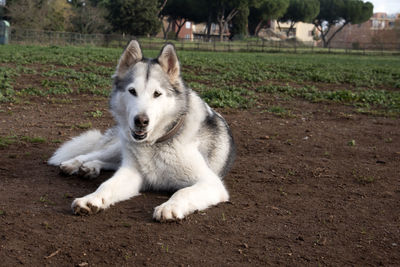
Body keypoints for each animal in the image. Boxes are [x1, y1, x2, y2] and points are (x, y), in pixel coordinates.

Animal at [47, 40, 234, 222]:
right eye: (132, 91)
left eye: (157, 94)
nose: (141, 121)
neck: (156, 144)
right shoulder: (132, 173)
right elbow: (107, 185)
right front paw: (91, 199)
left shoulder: (210, 182)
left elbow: (183, 191)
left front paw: (170, 207)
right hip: (119, 146)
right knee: (97, 155)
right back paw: (76, 164)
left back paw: (90, 168)